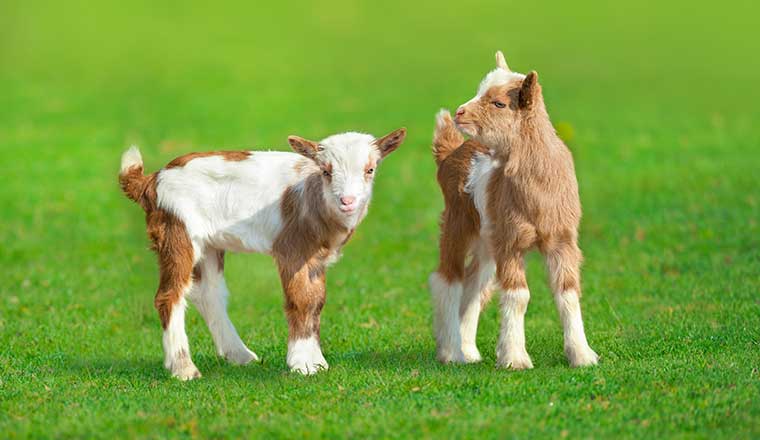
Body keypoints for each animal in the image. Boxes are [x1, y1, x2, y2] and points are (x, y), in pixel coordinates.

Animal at [119, 127, 406, 378]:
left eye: (370, 170)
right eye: (326, 172)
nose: (347, 201)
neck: (314, 198)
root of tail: (151, 180)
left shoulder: (316, 256)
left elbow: (316, 301)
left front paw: (317, 362)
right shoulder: (293, 248)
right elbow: (302, 300)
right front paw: (302, 365)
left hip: (209, 244)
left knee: (208, 293)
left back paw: (239, 355)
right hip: (178, 231)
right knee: (170, 296)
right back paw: (183, 369)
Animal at [430, 50, 596, 368]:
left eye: (499, 103)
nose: (460, 113)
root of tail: (450, 153)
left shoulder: (562, 239)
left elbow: (568, 292)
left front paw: (582, 355)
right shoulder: (511, 238)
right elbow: (519, 295)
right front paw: (515, 358)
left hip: (487, 238)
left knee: (475, 285)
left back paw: (468, 350)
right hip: (458, 221)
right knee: (447, 280)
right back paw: (451, 351)